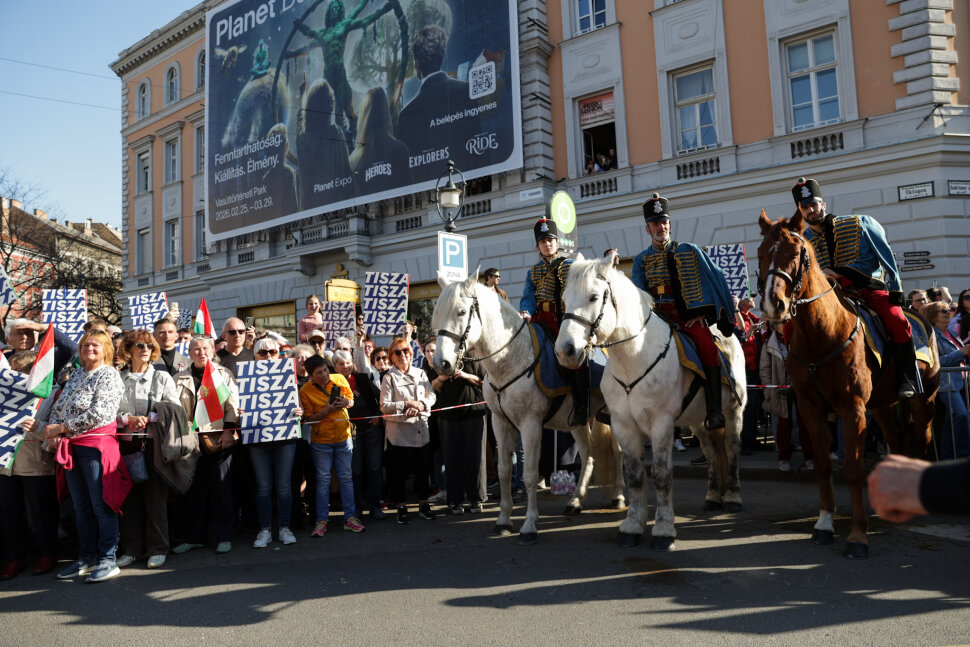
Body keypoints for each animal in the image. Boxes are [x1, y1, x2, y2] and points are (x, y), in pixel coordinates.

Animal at [431, 272, 626, 545]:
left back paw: (618, 496)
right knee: (589, 454)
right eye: (437, 314)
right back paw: (575, 501)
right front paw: (503, 521)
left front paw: (529, 525)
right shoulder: (500, 423)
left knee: (618, 452)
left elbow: (530, 474)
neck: (509, 359)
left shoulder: (530, 424)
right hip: (576, 421)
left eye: (460, 312)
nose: (441, 364)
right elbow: (503, 471)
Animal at [555, 252, 747, 550]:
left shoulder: (661, 424)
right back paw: (713, 496)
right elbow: (634, 476)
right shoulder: (623, 425)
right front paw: (632, 526)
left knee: (732, 448)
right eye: (564, 299)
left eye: (594, 297)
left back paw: (732, 497)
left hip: (733, 410)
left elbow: (662, 475)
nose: (565, 351)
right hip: (699, 420)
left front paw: (664, 529)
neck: (634, 356)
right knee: (712, 452)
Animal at [756, 210, 939, 558]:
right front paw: (825, 524)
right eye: (760, 253)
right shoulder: (811, 409)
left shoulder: (851, 409)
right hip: (883, 405)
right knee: (896, 440)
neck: (822, 334)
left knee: (921, 439)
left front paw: (857, 536)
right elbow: (823, 465)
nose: (774, 306)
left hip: (923, 401)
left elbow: (853, 469)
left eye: (796, 253)